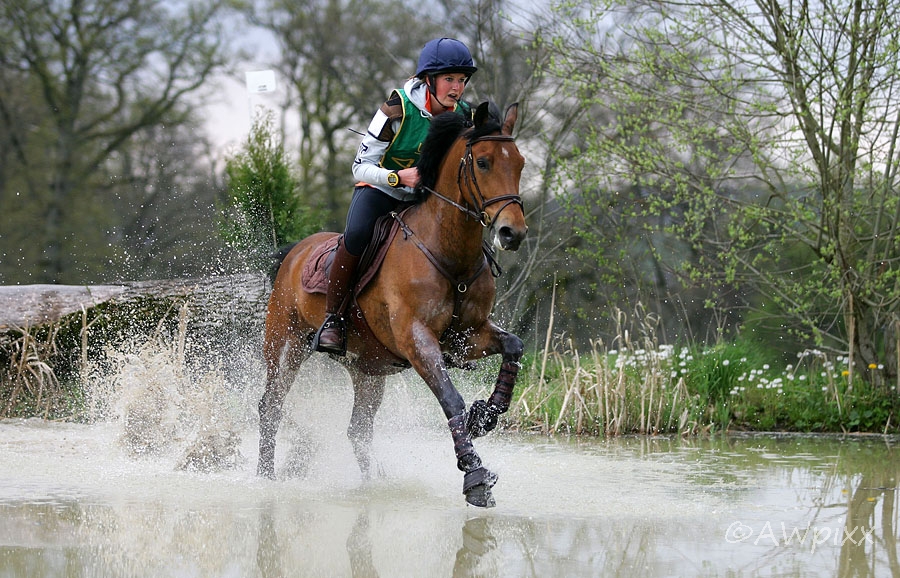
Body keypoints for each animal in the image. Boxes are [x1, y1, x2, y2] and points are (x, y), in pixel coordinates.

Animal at [256, 102, 528, 504]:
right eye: (483, 162)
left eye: (520, 163)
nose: (513, 233)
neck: (450, 255)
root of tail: (294, 253)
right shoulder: (416, 339)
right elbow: (451, 399)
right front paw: (475, 476)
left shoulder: (467, 336)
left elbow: (514, 345)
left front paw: (485, 415)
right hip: (285, 345)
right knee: (270, 407)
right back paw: (265, 477)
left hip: (366, 369)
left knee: (358, 430)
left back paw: (377, 483)